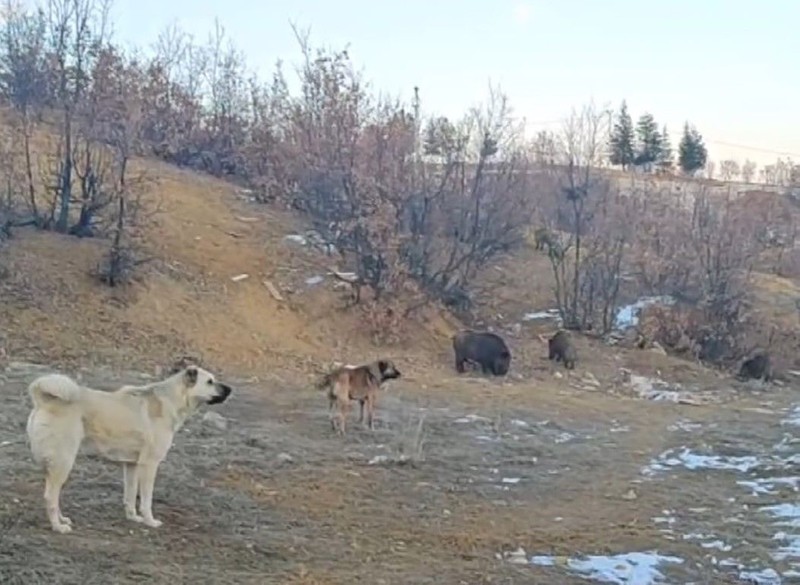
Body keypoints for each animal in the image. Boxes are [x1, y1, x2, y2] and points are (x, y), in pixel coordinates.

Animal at [25, 368, 231, 532]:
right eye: (210, 381)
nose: (230, 389)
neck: (172, 399)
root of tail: (44, 400)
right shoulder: (149, 465)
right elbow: (146, 499)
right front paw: (150, 521)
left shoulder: (131, 465)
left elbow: (130, 495)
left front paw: (133, 518)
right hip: (63, 462)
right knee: (50, 497)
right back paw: (58, 527)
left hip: (55, 465)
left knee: (53, 495)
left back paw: (62, 519)